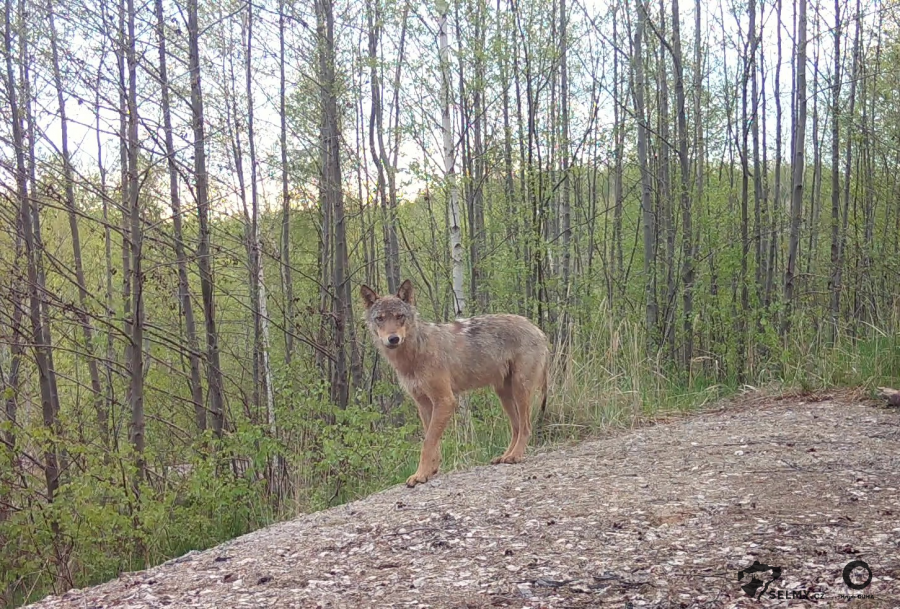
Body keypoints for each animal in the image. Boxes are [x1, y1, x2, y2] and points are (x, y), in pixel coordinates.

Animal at [360, 280, 548, 484]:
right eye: (380, 318)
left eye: (399, 316)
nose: (393, 338)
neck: (413, 356)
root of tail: (536, 328)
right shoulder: (424, 404)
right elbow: (432, 441)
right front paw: (429, 472)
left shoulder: (445, 400)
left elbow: (428, 442)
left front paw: (421, 474)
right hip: (503, 394)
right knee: (516, 427)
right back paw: (505, 456)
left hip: (520, 390)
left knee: (526, 427)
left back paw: (516, 455)